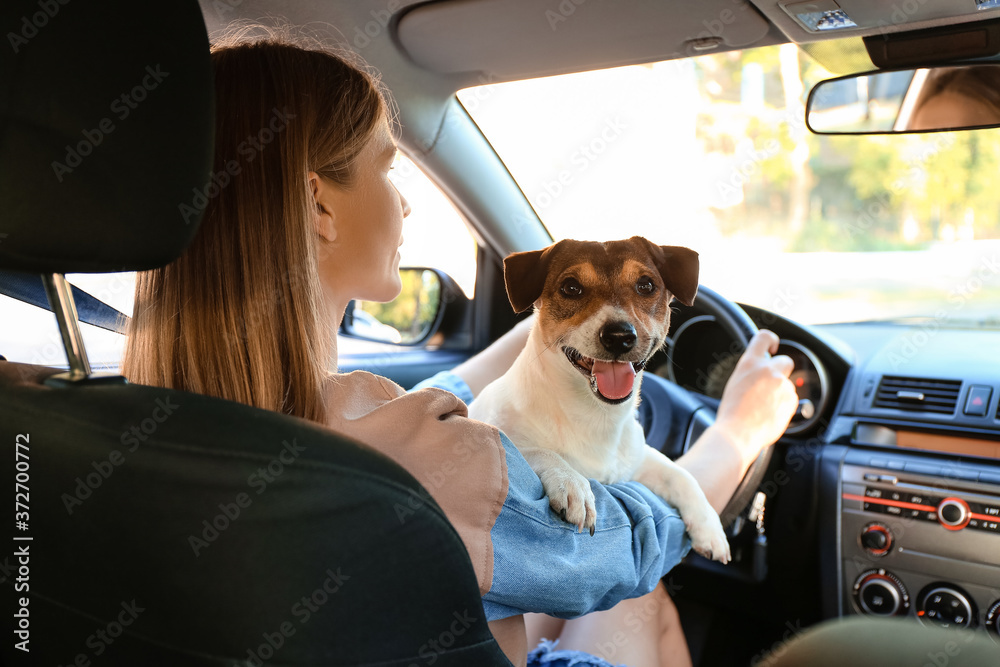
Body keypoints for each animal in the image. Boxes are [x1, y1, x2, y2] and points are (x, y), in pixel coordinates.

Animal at [468, 236, 736, 564]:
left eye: (646, 285)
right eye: (571, 287)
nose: (619, 336)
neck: (596, 416)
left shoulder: (636, 463)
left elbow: (681, 475)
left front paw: (710, 527)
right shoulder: (497, 434)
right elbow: (537, 451)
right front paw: (573, 484)